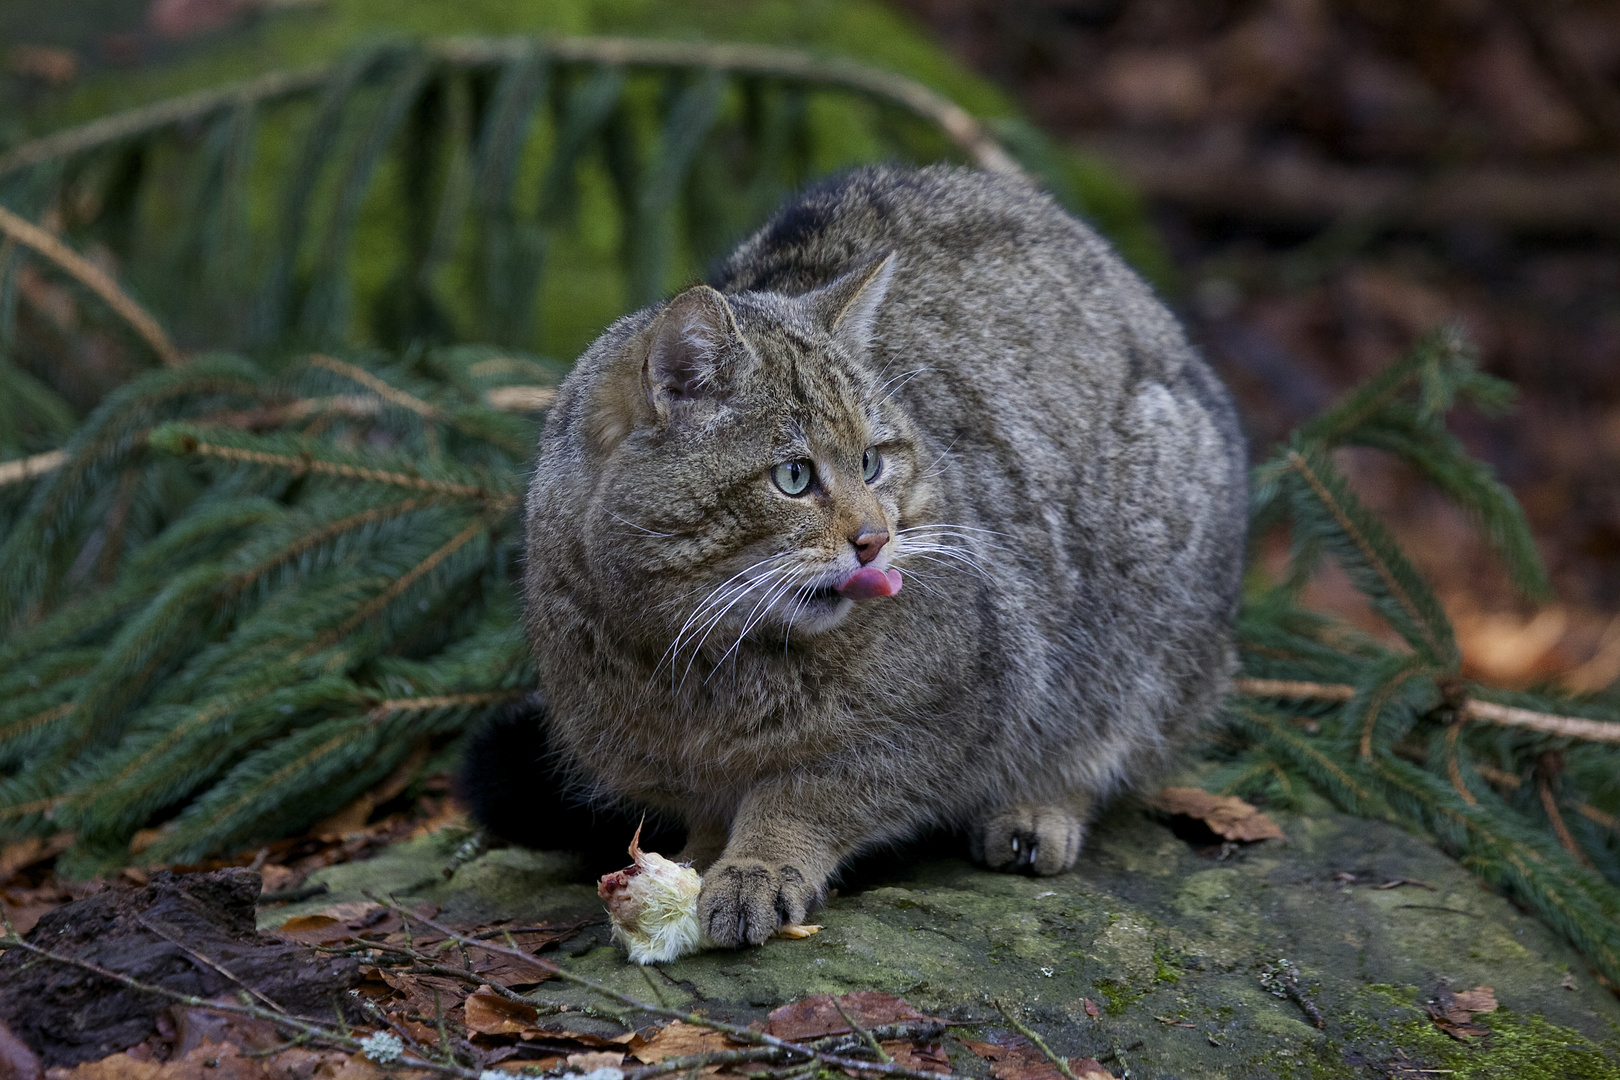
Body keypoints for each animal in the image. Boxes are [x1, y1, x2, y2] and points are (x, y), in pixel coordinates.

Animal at [524, 162, 1244, 945]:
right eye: (794, 476)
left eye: (871, 463)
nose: (874, 537)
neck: (702, 662)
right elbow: (711, 814)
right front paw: (701, 860)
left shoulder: (951, 712)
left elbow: (809, 794)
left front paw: (758, 863)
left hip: (1147, 624)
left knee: (1104, 731)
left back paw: (1038, 808)